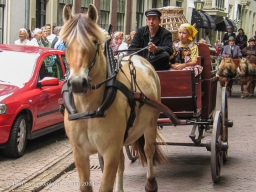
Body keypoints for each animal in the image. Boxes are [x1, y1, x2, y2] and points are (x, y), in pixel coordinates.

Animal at [60, 4, 168, 192]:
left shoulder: (109, 151)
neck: (88, 109)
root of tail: (138, 56)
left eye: (95, 42)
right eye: (65, 43)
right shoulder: (80, 153)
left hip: (151, 123)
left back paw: (151, 182)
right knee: (123, 162)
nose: (77, 83)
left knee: (148, 149)